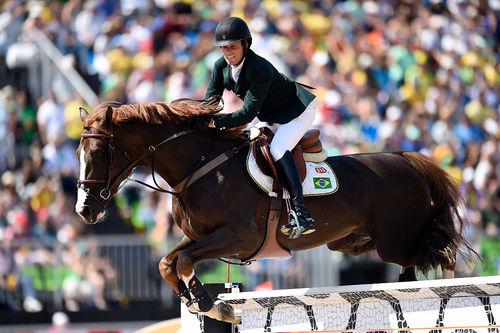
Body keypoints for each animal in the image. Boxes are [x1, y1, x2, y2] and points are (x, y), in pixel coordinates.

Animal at [76, 96, 474, 322]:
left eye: (98, 152)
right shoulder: (199, 235)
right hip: (357, 242)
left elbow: (185, 261)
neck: (199, 166)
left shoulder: (237, 237)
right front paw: (201, 301)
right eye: (79, 152)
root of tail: (406, 158)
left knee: (439, 251)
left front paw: (208, 302)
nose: (85, 210)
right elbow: (167, 262)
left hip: (396, 240)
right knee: (413, 261)